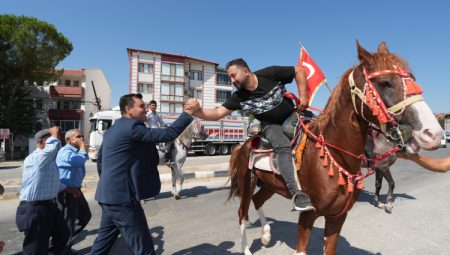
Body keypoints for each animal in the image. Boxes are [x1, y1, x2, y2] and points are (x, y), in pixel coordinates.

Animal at [229, 42, 442, 255]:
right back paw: (247, 249)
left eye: (413, 79)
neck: (333, 157)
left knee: (257, 200)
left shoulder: (338, 216)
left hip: (269, 185)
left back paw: (266, 235)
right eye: (384, 83)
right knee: (242, 213)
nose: (433, 133)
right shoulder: (307, 217)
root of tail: (243, 144)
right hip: (246, 183)